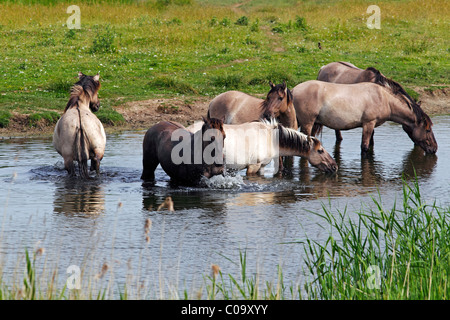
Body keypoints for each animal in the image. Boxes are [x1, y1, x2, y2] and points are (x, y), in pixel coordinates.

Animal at [294, 80, 438, 155]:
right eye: (428, 130)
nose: (434, 148)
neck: (385, 99)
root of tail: (294, 90)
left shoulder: (372, 125)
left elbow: (371, 144)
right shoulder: (369, 123)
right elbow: (364, 147)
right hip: (307, 123)